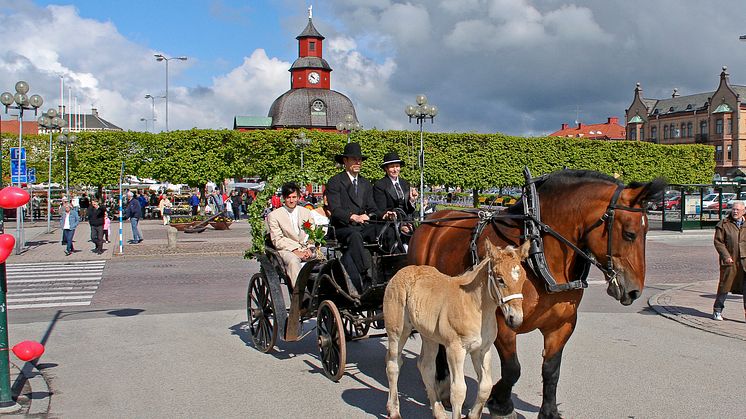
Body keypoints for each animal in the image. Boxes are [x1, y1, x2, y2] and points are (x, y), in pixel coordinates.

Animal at [384, 241, 528, 419]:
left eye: (524, 278)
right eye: (500, 279)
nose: (516, 319)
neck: (474, 304)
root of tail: (401, 271)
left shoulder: (482, 349)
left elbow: (485, 386)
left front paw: (472, 415)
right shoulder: (455, 349)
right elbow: (458, 391)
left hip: (429, 337)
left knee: (426, 367)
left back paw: (438, 412)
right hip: (397, 332)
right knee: (393, 364)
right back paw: (394, 410)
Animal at [406, 169, 664, 418]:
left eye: (647, 231)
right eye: (629, 233)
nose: (634, 290)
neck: (538, 253)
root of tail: (429, 220)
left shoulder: (562, 324)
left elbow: (551, 369)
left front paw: (548, 411)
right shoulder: (504, 321)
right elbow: (513, 369)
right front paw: (500, 403)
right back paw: (442, 385)